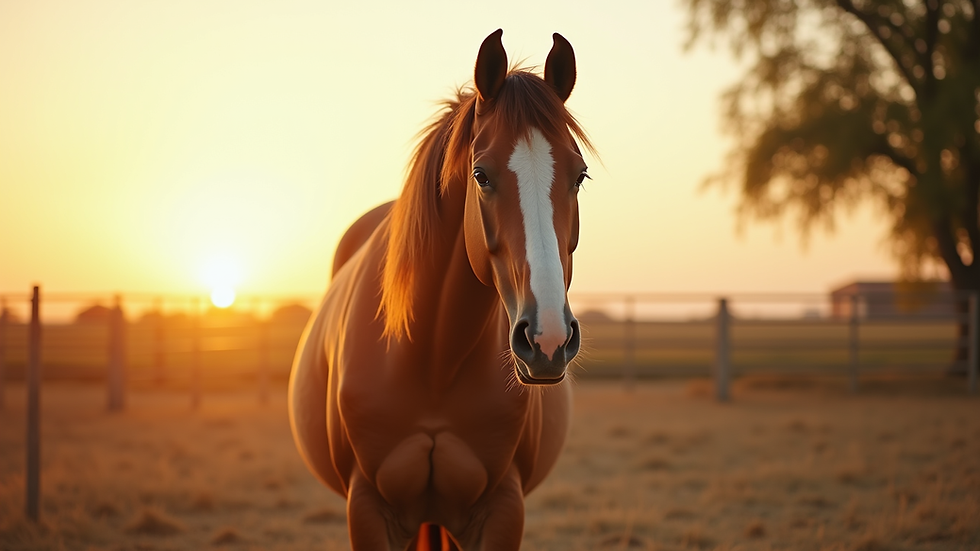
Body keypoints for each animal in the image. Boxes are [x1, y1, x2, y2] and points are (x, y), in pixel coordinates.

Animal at [288, 29, 593, 550]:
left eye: (580, 176)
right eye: (481, 175)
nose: (548, 340)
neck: (433, 360)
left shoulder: (502, 509)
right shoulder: (368, 509)